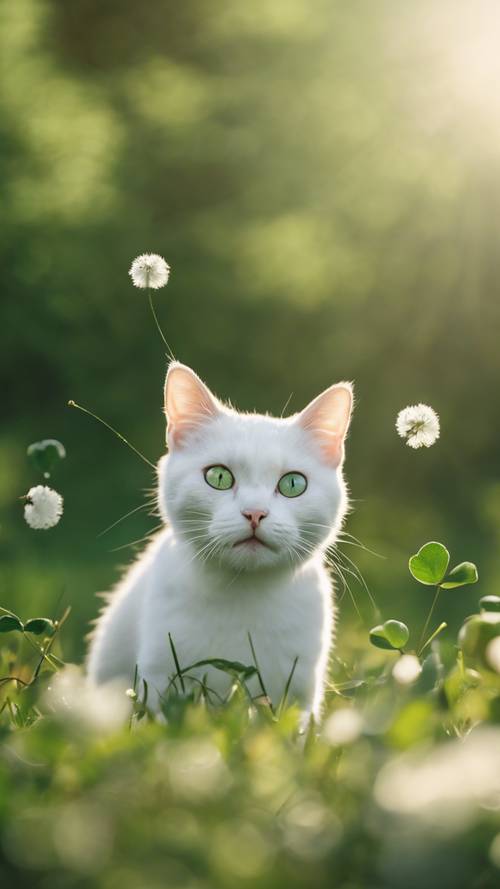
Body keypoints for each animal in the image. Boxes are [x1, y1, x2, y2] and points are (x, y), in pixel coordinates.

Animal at [86, 362, 354, 720]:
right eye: (219, 477)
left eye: (293, 484)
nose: (255, 513)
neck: (243, 593)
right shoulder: (158, 676)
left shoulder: (299, 693)